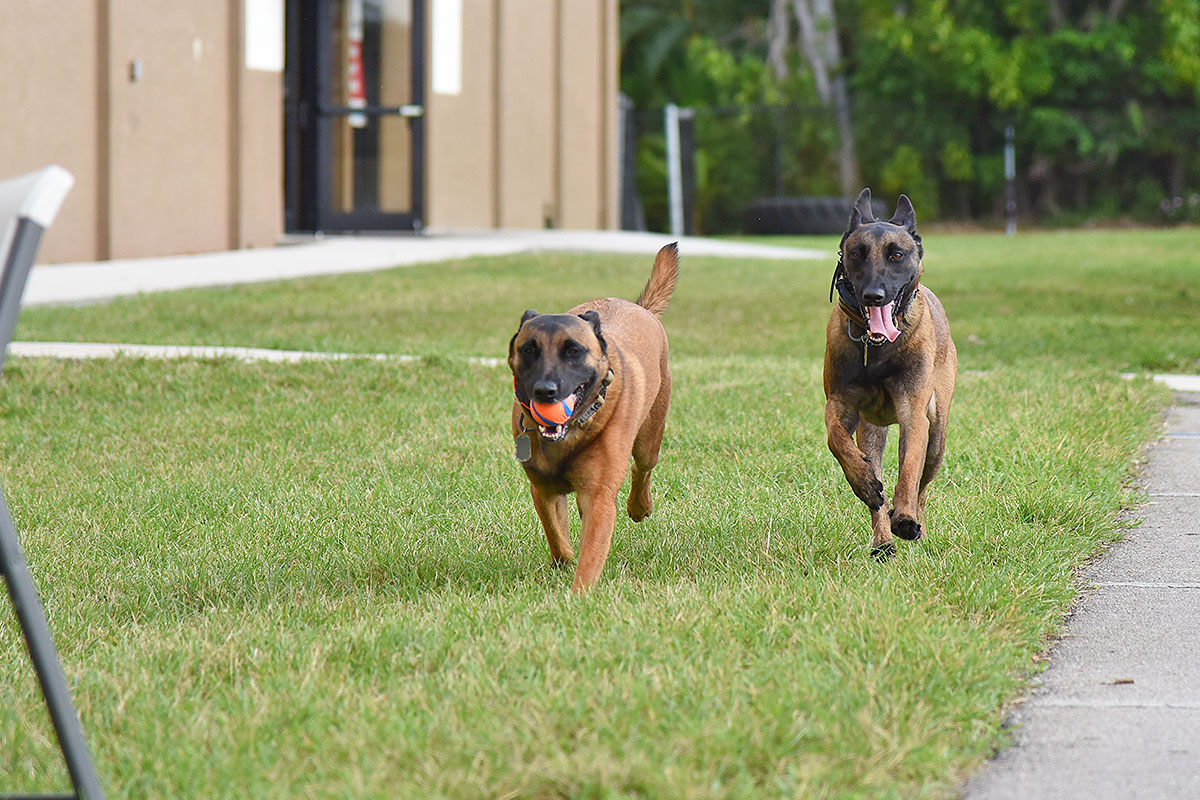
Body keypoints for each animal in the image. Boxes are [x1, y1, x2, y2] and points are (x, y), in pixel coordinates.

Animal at [504, 241, 681, 592]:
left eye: (573, 350)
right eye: (529, 349)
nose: (545, 391)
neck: (572, 432)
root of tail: (638, 307)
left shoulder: (599, 495)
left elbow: (589, 558)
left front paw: (578, 595)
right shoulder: (543, 488)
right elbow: (557, 536)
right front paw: (564, 562)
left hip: (650, 438)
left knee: (642, 469)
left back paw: (639, 506)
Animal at [825, 190, 955, 561]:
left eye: (896, 255)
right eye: (856, 253)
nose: (874, 295)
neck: (875, 349)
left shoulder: (914, 415)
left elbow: (909, 470)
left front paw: (906, 519)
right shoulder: (839, 405)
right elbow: (836, 440)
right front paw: (864, 483)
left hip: (937, 437)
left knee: (922, 485)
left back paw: (913, 523)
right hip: (872, 432)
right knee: (876, 491)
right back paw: (882, 539)